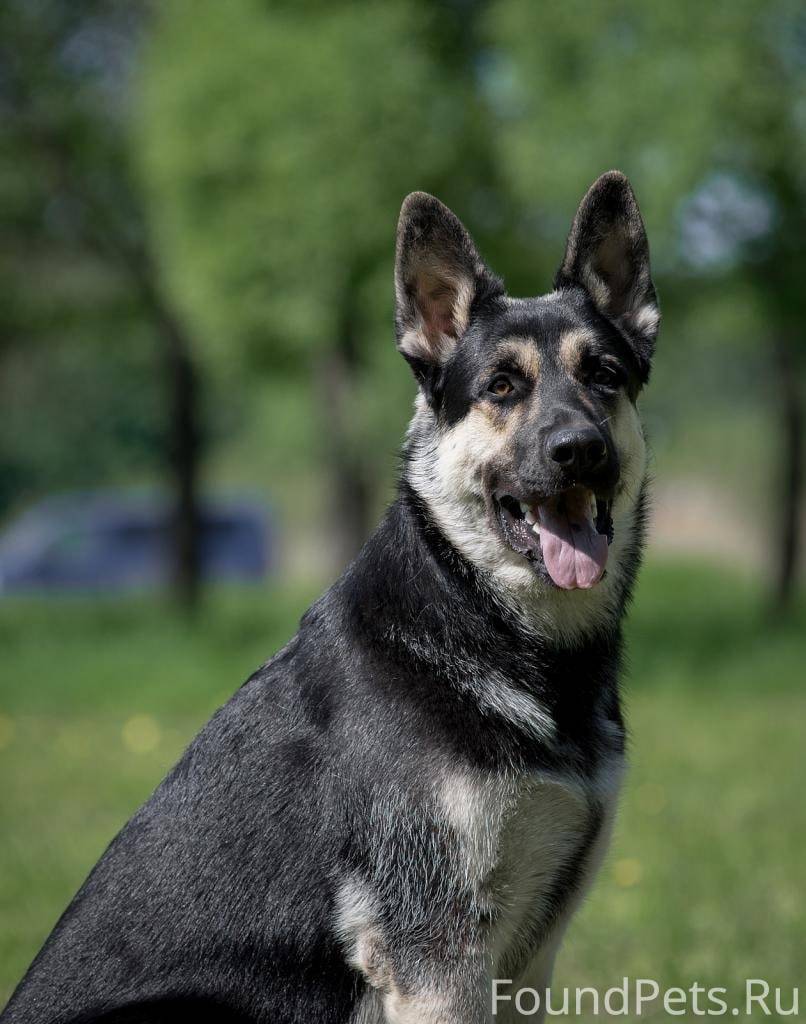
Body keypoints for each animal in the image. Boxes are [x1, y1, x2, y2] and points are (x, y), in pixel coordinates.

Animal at [4, 172, 663, 1019]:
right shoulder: (439, 957)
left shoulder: (526, 962)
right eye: (501, 387)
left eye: (604, 376)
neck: (477, 613)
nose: (578, 450)